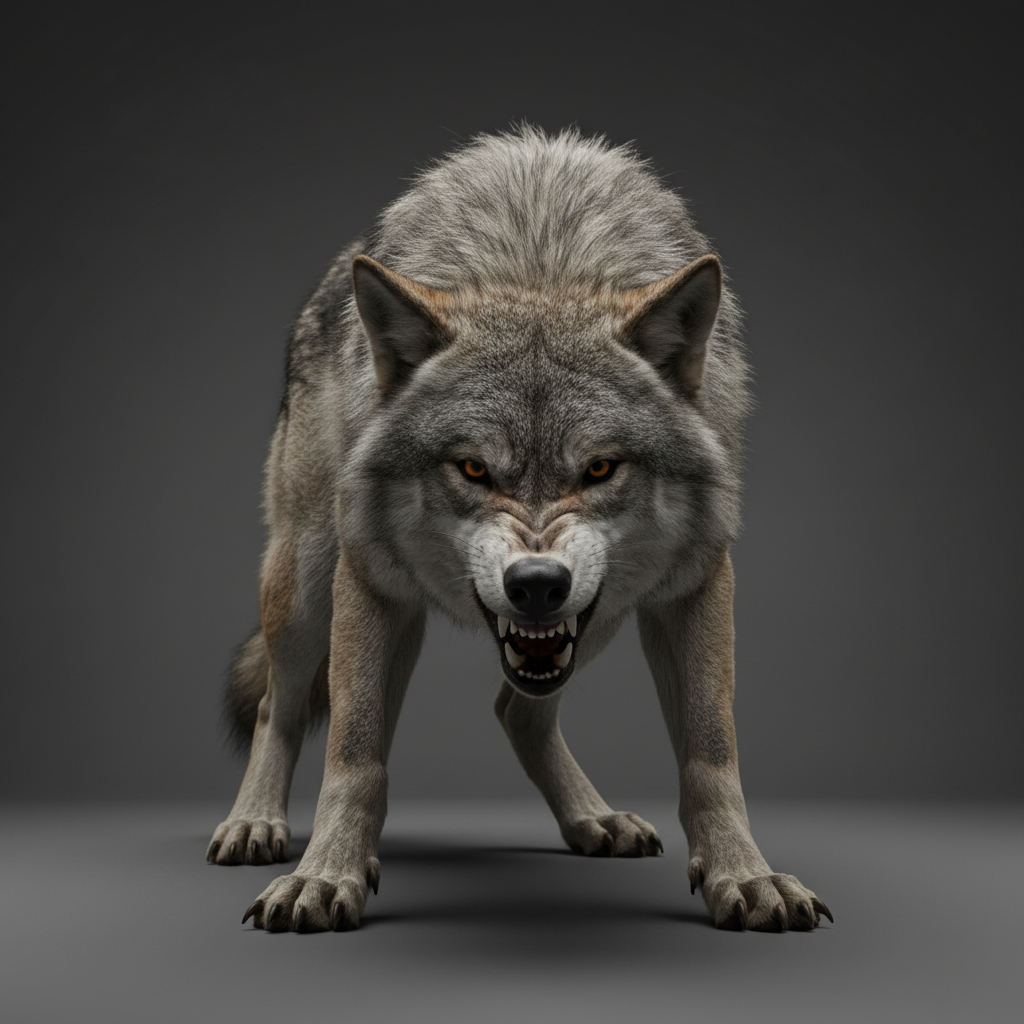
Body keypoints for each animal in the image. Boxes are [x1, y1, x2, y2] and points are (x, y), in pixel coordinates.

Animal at [206, 126, 831, 933]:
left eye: (600, 468)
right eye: (474, 468)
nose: (535, 585)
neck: (541, 268)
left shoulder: (698, 581)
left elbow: (711, 753)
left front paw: (744, 877)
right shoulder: (369, 580)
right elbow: (354, 752)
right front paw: (325, 875)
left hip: (599, 616)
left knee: (515, 710)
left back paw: (593, 819)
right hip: (309, 586)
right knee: (275, 708)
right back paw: (254, 822)